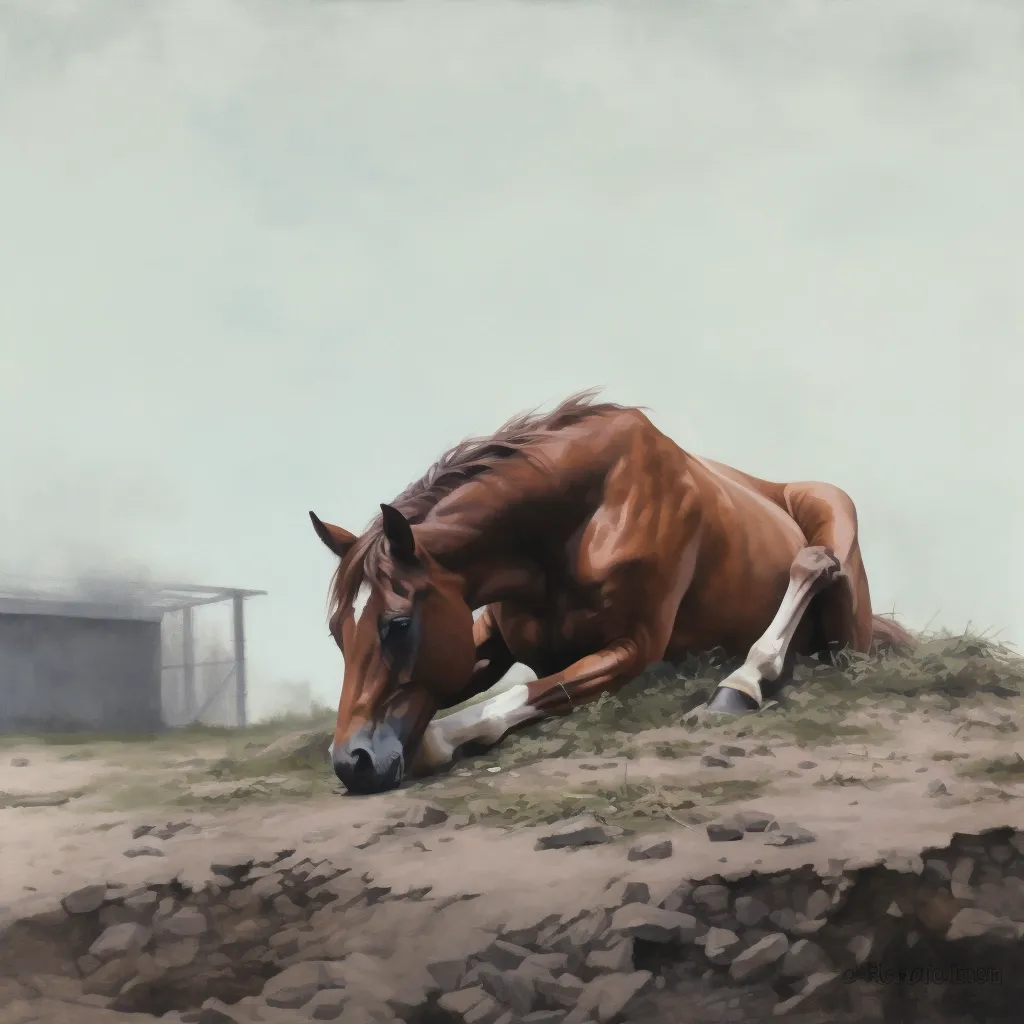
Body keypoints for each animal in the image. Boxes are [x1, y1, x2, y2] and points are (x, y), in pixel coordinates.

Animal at [311, 390, 914, 794]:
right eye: (338, 635)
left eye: (397, 624)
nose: (351, 764)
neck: (584, 516)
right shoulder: (483, 643)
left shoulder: (632, 650)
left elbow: (501, 706)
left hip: (836, 550)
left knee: (814, 564)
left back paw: (739, 685)